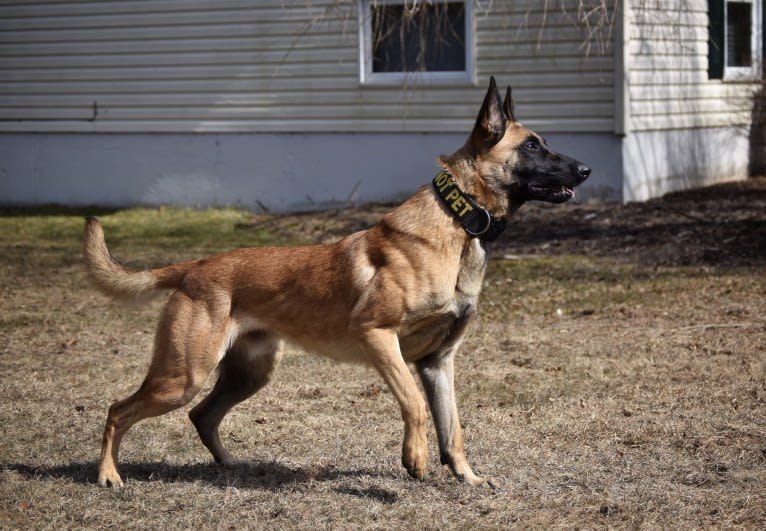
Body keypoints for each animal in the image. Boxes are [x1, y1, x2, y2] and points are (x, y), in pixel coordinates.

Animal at [84, 77, 592, 488]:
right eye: (532, 147)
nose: (586, 170)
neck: (457, 223)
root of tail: (194, 266)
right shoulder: (377, 335)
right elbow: (415, 404)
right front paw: (415, 459)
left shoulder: (439, 362)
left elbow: (454, 428)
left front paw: (466, 477)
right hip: (183, 374)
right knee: (118, 410)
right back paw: (109, 475)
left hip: (249, 374)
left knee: (201, 415)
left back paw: (231, 466)